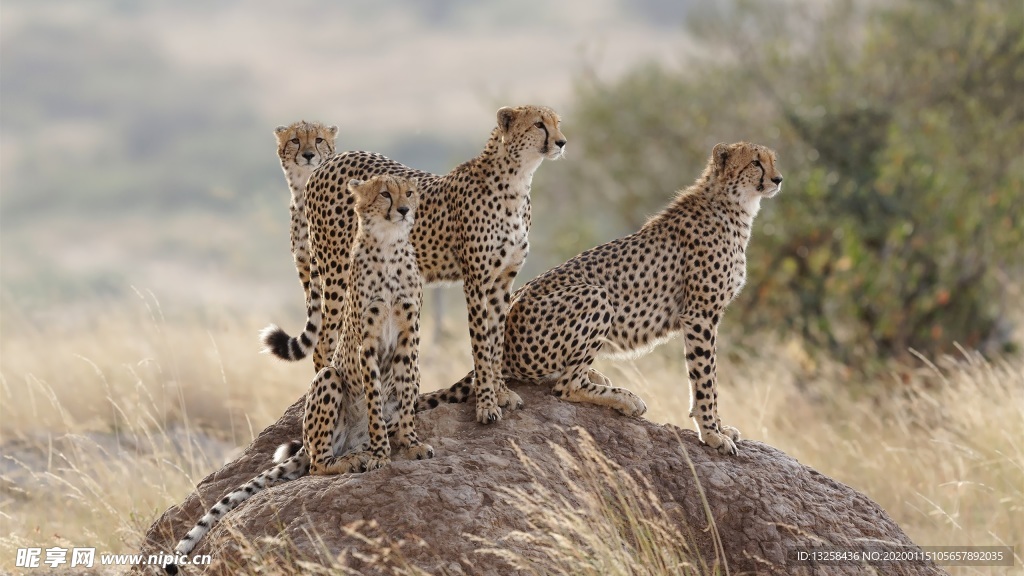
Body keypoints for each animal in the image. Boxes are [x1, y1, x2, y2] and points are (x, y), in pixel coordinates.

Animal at [163, 175, 428, 573]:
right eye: (385, 194)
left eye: (409, 192)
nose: (405, 209)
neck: (389, 246)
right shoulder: (365, 341)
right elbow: (375, 399)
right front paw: (383, 454)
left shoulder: (409, 333)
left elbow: (407, 393)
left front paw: (410, 442)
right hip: (328, 379)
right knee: (318, 464)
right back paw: (353, 458)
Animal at [419, 142, 786, 453]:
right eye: (756, 162)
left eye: (772, 159)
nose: (778, 179)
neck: (734, 205)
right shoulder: (700, 315)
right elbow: (706, 379)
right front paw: (712, 434)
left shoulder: (704, 316)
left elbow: (706, 377)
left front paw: (719, 428)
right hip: (596, 296)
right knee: (564, 386)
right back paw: (624, 398)